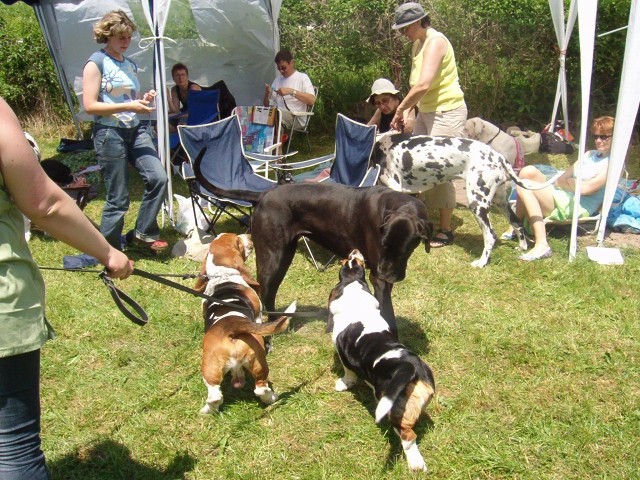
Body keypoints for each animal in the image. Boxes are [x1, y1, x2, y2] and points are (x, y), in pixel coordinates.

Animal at [194, 232, 296, 412]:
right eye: (237, 240)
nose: (249, 235)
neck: (222, 275)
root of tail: (230, 327)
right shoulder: (258, 314)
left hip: (209, 366)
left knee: (214, 395)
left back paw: (208, 410)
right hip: (258, 362)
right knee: (261, 388)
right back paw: (272, 398)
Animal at [330, 251, 436, 472]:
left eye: (346, 262)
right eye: (355, 263)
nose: (353, 252)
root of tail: (410, 367)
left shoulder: (343, 357)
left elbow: (348, 374)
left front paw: (342, 384)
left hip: (393, 410)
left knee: (408, 437)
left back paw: (416, 464)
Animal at [372, 132, 556, 266]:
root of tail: (498, 156)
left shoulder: (395, 188)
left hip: (477, 204)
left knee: (490, 236)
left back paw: (481, 262)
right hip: (500, 202)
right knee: (517, 223)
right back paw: (522, 247)